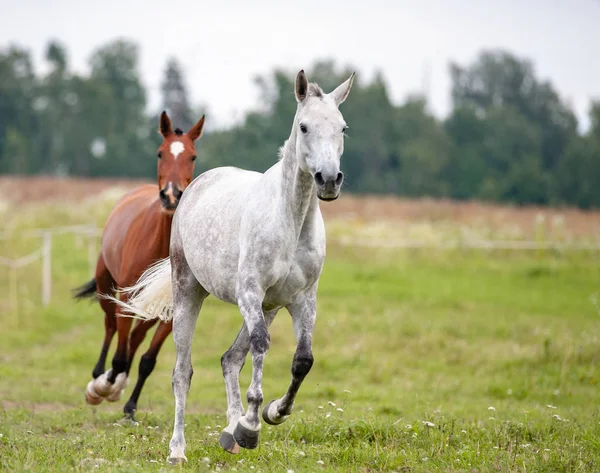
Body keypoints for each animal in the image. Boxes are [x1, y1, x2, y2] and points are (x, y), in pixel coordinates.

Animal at [73, 111, 205, 420]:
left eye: (192, 156)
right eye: (160, 153)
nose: (171, 195)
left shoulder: (173, 309)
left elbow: (147, 360)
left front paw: (129, 406)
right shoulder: (125, 297)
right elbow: (120, 357)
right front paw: (102, 387)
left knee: (135, 339)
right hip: (106, 284)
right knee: (111, 328)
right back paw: (99, 377)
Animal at [112, 69, 354, 460]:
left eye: (342, 127)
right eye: (304, 127)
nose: (329, 180)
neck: (290, 220)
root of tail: (195, 186)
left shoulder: (302, 300)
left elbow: (302, 360)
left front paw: (270, 414)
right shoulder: (249, 292)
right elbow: (260, 347)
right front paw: (252, 426)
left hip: (269, 307)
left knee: (230, 359)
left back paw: (230, 432)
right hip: (189, 293)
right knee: (183, 372)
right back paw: (179, 449)